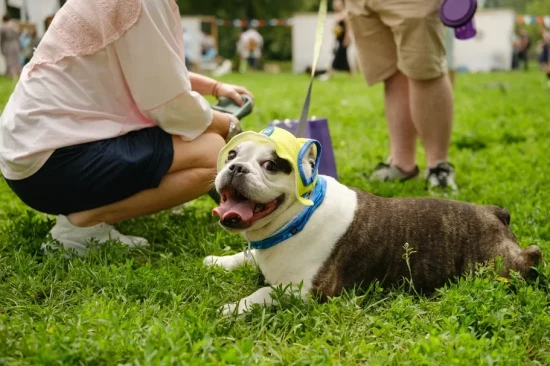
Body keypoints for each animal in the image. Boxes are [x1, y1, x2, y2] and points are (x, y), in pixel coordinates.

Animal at [204, 126, 544, 314]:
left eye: (272, 166)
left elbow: (262, 293)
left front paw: (233, 308)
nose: (236, 168)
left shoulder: (304, 291)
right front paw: (217, 261)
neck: (297, 218)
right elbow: (245, 256)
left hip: (497, 264)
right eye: (232, 154)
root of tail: (494, 212)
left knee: (530, 256)